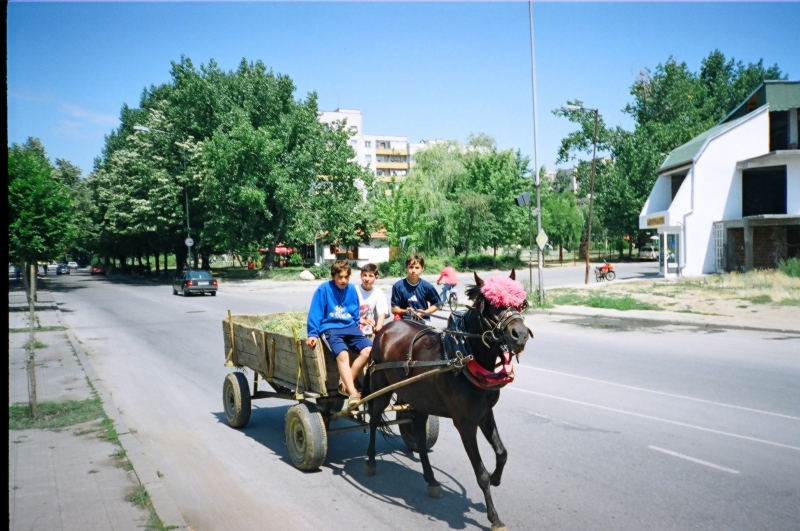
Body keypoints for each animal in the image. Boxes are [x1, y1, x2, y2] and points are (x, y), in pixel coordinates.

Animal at [362, 270, 532, 531]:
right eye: (492, 305)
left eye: (519, 304)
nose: (520, 334)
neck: (464, 356)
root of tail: (385, 328)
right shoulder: (465, 423)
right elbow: (480, 472)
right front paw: (494, 517)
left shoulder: (485, 413)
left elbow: (502, 453)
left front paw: (496, 478)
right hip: (380, 388)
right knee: (373, 420)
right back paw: (371, 461)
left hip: (419, 400)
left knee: (419, 436)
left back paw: (431, 480)